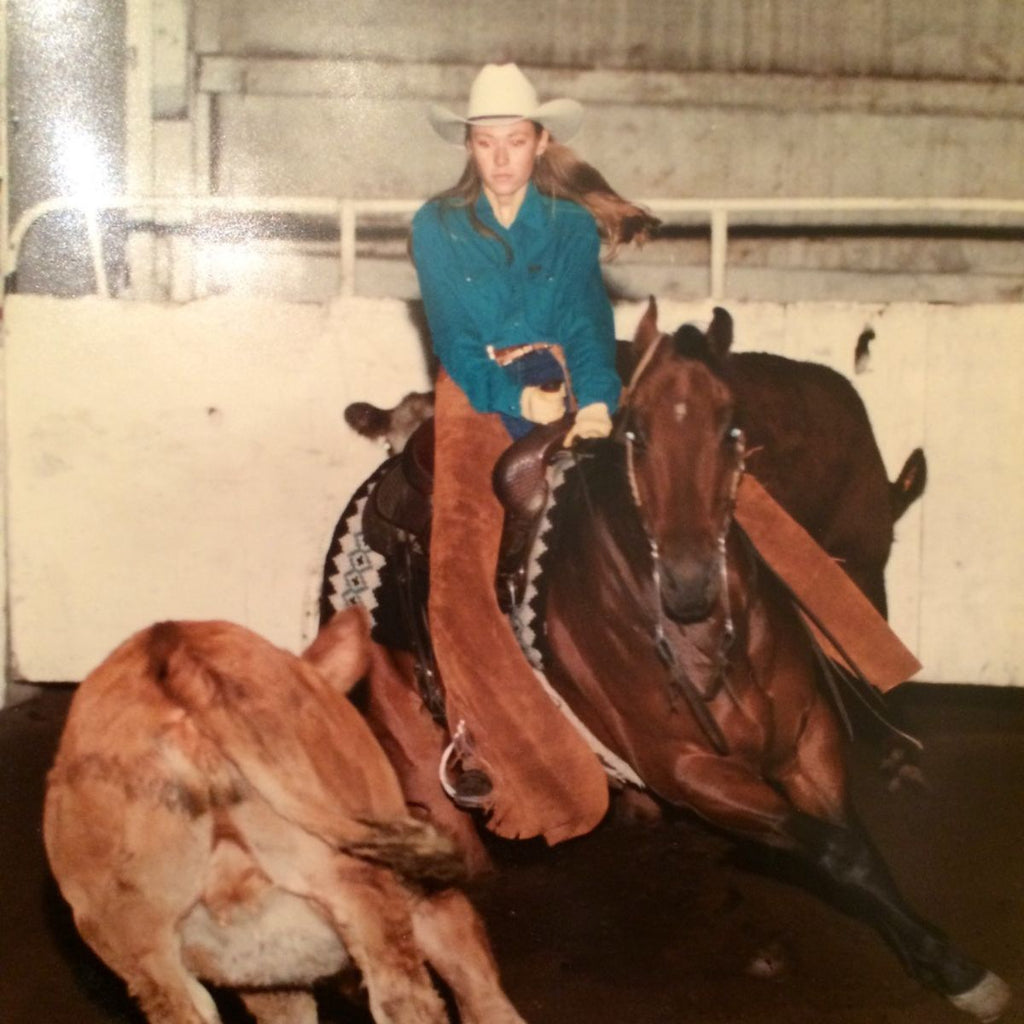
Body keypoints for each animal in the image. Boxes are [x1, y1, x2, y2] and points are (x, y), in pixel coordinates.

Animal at [44, 606, 524, 1024]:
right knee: (407, 1003)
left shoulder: (268, 981)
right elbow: (483, 995)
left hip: (146, 953)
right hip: (367, 893)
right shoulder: (433, 907)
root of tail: (171, 652)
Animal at [325, 305, 1007, 1024]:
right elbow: (837, 849)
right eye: (636, 434)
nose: (688, 581)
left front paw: (940, 961)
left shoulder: (807, 741)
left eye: (732, 426)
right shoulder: (694, 774)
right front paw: (952, 967)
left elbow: (856, 846)